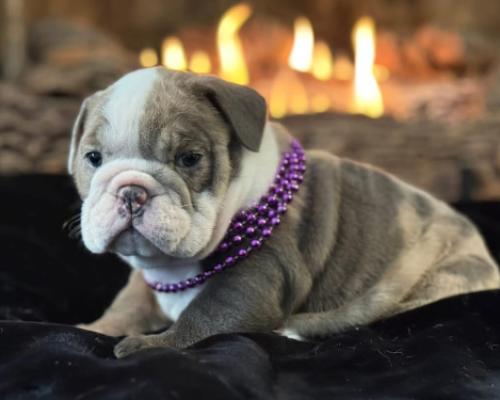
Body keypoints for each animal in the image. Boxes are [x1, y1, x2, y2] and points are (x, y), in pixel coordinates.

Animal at [69, 67, 500, 358]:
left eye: (189, 159)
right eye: (93, 158)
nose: (131, 191)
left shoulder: (253, 282)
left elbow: (202, 319)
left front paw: (152, 345)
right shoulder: (144, 281)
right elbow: (127, 304)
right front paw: (94, 327)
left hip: (440, 277)